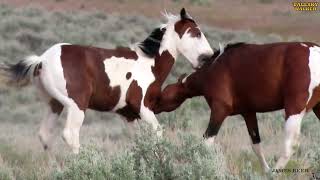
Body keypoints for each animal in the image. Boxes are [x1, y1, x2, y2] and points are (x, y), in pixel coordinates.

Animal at [1, 8, 214, 154]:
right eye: (197, 33)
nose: (209, 56)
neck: (149, 64)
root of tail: (43, 59)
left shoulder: (128, 115)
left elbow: (140, 141)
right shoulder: (143, 108)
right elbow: (157, 134)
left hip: (54, 105)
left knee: (45, 136)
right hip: (76, 106)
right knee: (70, 135)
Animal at [154, 42, 320, 172]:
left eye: (163, 95)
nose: (152, 106)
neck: (213, 69)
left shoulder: (219, 110)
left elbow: (207, 142)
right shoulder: (248, 113)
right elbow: (256, 144)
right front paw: (265, 171)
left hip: (294, 110)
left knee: (289, 146)